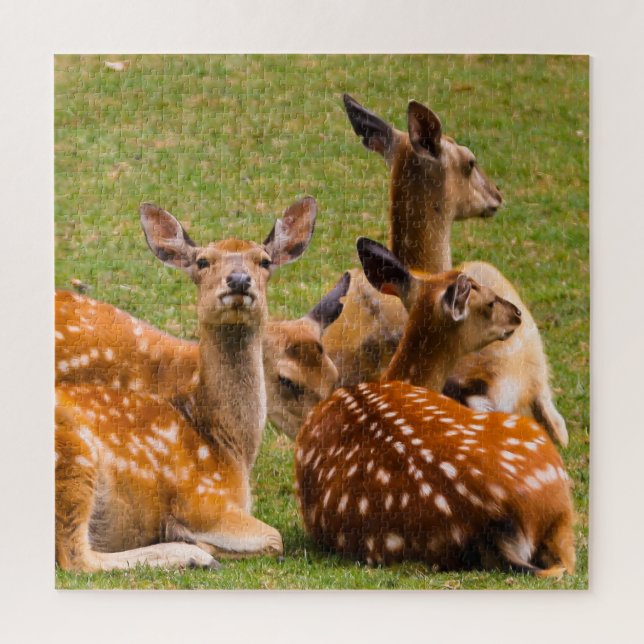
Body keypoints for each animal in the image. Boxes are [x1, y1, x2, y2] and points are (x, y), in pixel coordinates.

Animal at [56, 198, 317, 572]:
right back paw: (193, 555)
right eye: (203, 261)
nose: (239, 279)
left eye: (264, 261)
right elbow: (275, 537)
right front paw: (193, 540)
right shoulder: (204, 499)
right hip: (73, 457)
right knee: (75, 556)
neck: (229, 446)